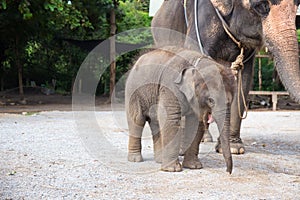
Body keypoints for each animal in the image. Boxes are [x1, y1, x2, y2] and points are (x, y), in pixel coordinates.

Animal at [152, 0, 300, 155]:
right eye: (261, 5)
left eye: (297, 6)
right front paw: (184, 149)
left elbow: (242, 80)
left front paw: (234, 148)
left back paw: (205, 138)